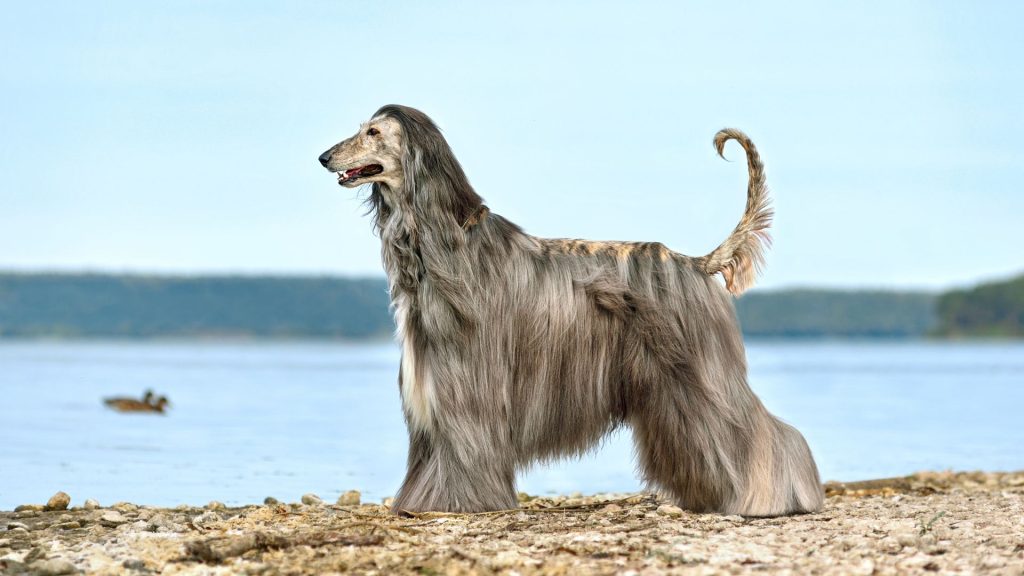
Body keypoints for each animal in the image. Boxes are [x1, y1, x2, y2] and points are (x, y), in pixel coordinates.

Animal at [319, 104, 823, 516]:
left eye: (372, 132)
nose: (324, 157)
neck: (444, 241)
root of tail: (694, 263)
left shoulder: (467, 385)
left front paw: (459, 503)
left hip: (702, 373)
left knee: (764, 433)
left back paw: (774, 499)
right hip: (671, 391)